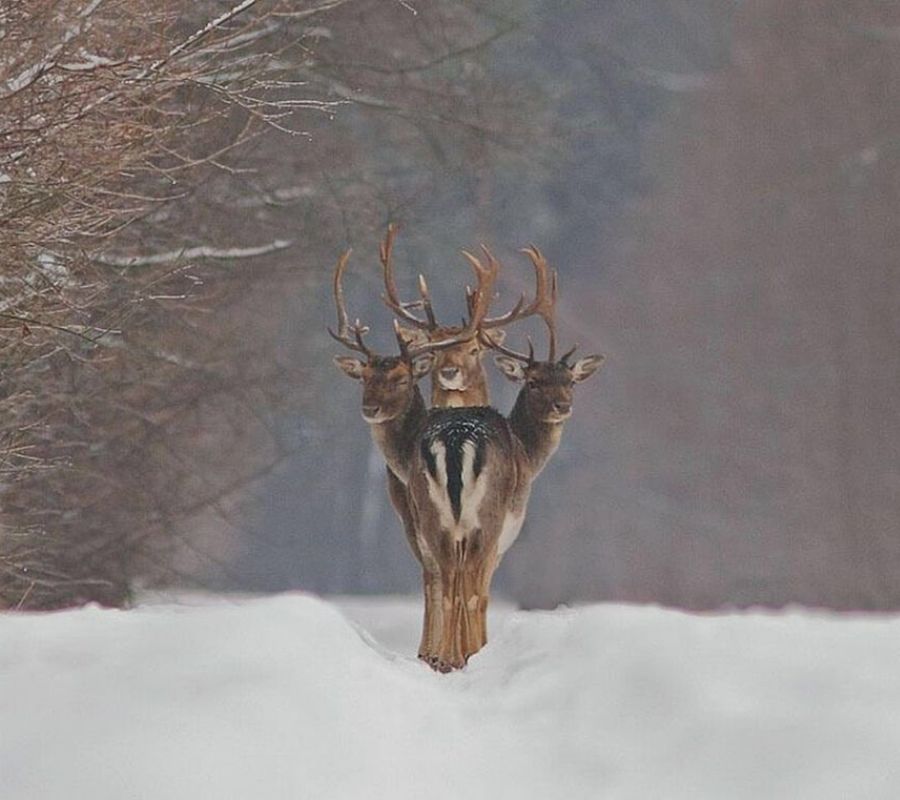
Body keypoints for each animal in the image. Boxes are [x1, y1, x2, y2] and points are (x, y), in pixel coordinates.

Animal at [404, 245, 604, 671]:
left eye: (570, 381)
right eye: (534, 382)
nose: (563, 406)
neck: (527, 451)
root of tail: (453, 441)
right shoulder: (505, 531)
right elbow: (481, 592)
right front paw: (473, 652)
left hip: (432, 517)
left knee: (445, 582)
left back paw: (447, 658)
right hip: (486, 518)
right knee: (468, 588)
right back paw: (463, 656)